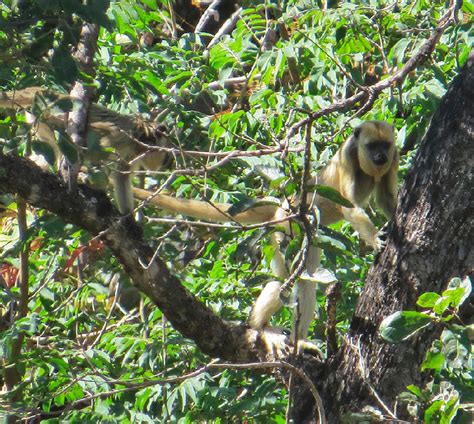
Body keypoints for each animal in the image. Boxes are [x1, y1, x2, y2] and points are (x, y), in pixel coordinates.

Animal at [0, 86, 174, 214]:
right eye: (166, 156)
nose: (168, 163)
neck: (142, 138)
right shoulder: (123, 137)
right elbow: (99, 143)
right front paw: (95, 184)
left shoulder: (132, 155)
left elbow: (121, 176)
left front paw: (128, 217)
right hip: (48, 112)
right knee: (68, 137)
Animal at [134, 121, 400, 354]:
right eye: (371, 146)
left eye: (385, 145)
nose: (380, 157)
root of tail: (283, 206)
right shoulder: (348, 156)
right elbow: (350, 207)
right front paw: (376, 239)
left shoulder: (394, 156)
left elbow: (387, 199)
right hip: (284, 229)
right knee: (286, 281)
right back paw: (261, 327)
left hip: (307, 235)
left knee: (308, 277)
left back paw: (299, 339)